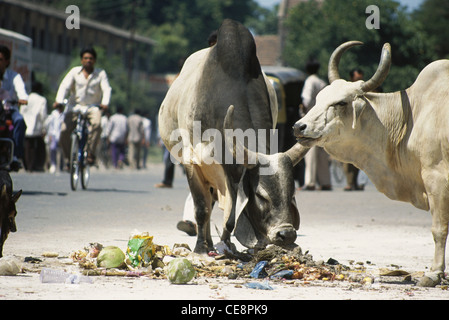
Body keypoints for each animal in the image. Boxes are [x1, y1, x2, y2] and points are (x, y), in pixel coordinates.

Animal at [294, 41, 448, 286]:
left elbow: (439, 229)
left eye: (341, 103)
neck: (411, 118)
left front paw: (434, 273)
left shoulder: (437, 177)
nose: (299, 126)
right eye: (317, 99)